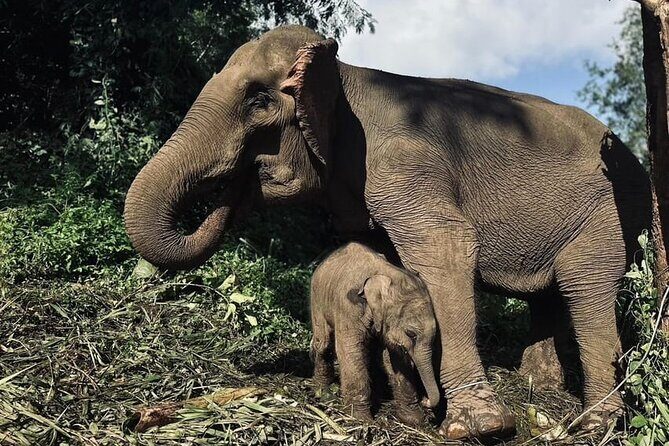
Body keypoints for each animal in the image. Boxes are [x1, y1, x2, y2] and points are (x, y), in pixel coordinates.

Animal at [310, 241, 440, 426]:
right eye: (411, 334)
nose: (425, 400)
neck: (387, 273)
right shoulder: (348, 306)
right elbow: (351, 351)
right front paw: (360, 419)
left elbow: (396, 358)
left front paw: (414, 419)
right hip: (317, 300)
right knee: (324, 343)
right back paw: (323, 392)